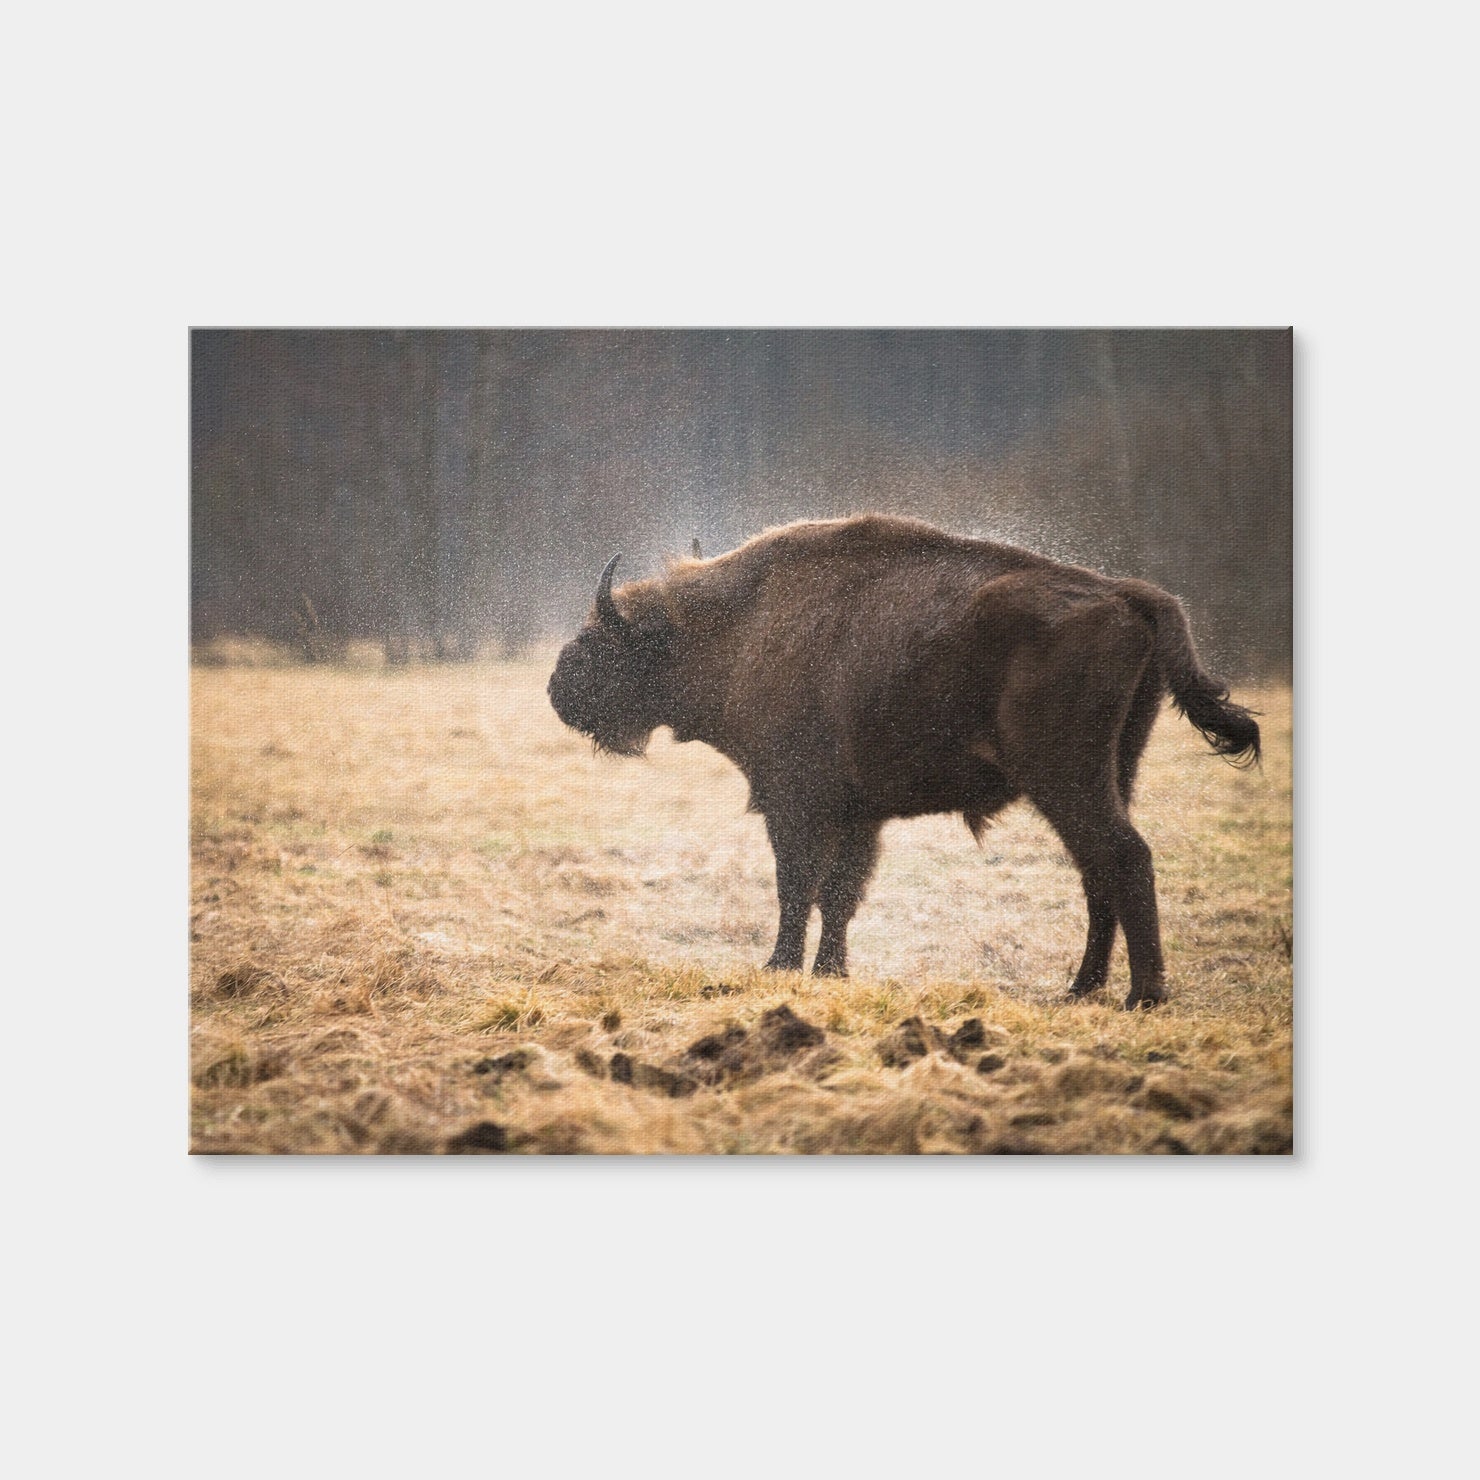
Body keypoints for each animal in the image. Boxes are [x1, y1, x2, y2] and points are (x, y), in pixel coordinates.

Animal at [547, 514, 1258, 1008]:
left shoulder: (795, 802)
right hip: (1116, 770)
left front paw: (779, 968)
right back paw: (1080, 989)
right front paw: (830, 972)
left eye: (601, 638)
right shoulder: (859, 814)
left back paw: (1142, 995)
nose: (557, 688)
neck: (736, 624)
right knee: (1097, 870)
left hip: (1064, 777)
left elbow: (798, 886)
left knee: (1122, 857)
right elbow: (840, 894)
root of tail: (1126, 594)